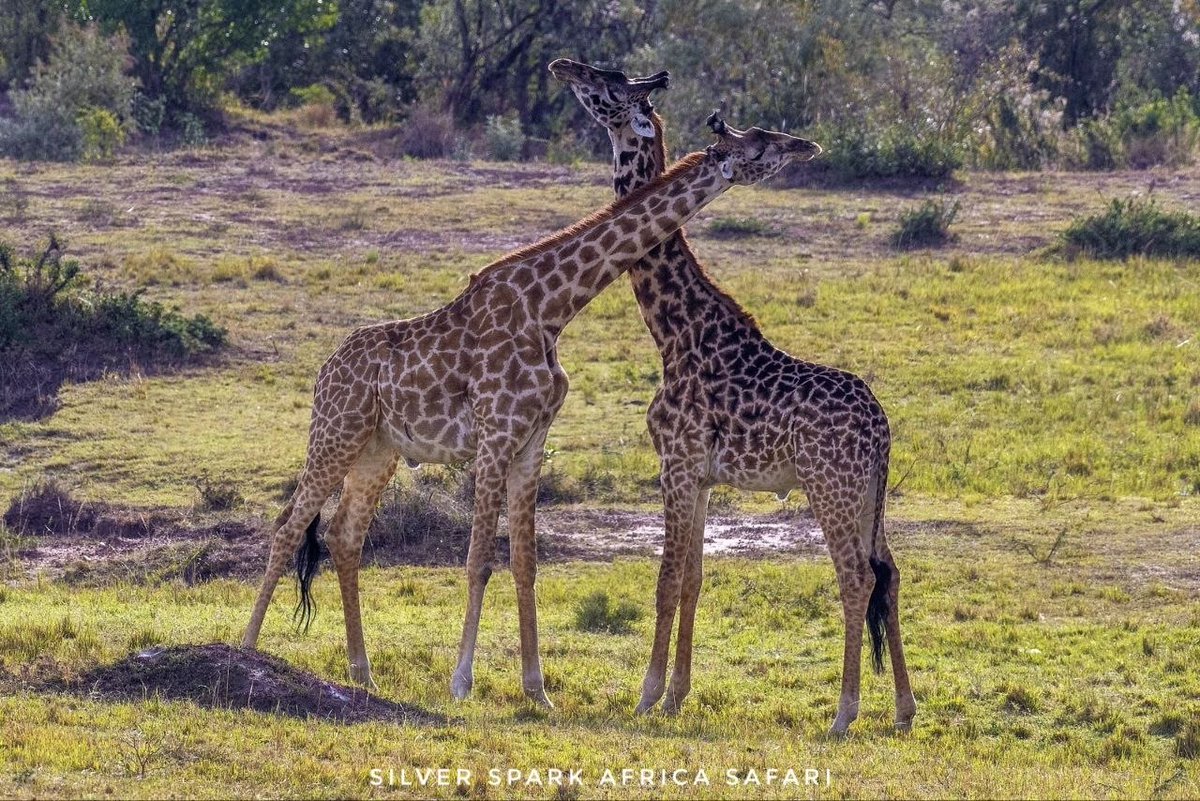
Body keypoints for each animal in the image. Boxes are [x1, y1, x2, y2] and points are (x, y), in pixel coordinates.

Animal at [241, 121, 822, 707]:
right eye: (761, 145)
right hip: (335, 431)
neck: (552, 309)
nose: (808, 147)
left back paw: (363, 672)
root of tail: (324, 370)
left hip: (377, 450)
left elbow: (525, 561)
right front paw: (461, 682)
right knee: (288, 526)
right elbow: (478, 559)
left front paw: (536, 691)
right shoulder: (496, 433)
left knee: (344, 537)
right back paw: (248, 650)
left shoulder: (531, 440)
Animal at [550, 58, 916, 734]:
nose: (562, 66)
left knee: (855, 578)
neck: (674, 331)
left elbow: (665, 578)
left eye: (607, 85)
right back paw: (904, 708)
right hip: (869, 495)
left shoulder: (675, 462)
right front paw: (677, 694)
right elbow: (693, 578)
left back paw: (844, 712)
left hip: (830, 486)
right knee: (891, 573)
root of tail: (882, 431)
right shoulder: (701, 475)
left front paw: (645, 695)